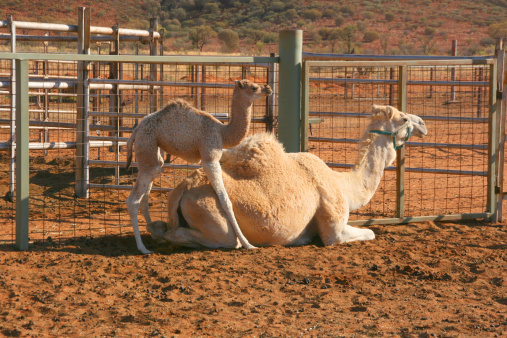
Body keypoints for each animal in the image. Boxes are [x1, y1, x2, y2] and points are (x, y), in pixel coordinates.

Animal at [125, 80, 272, 254]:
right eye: (254, 88)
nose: (268, 88)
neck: (223, 132)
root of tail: (135, 131)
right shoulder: (210, 157)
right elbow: (225, 201)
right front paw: (247, 243)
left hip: (153, 151)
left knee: (146, 191)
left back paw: (155, 236)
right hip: (146, 144)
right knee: (133, 200)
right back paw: (143, 248)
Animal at [148, 105, 428, 248]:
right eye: (404, 118)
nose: (423, 123)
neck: (344, 186)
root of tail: (181, 191)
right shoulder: (334, 229)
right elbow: (368, 233)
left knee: (163, 228)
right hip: (210, 214)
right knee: (214, 238)